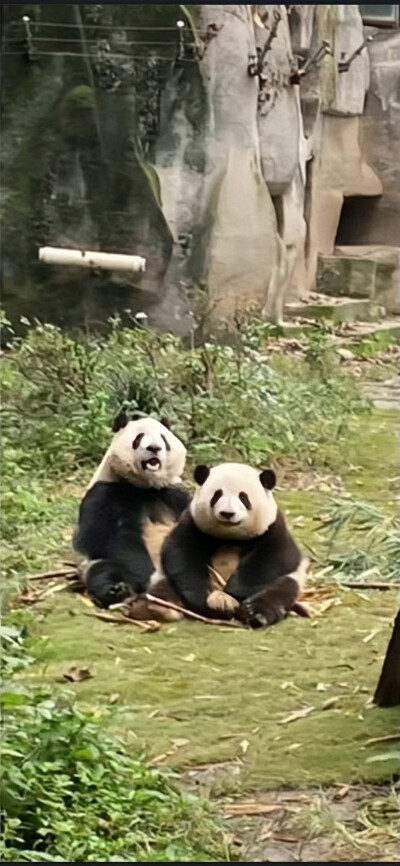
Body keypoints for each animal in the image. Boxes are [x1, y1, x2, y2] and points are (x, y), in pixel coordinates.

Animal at [73, 410, 191, 608]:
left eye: (163, 439)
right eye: (139, 438)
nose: (154, 448)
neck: (147, 487)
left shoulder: (174, 493)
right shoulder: (107, 490)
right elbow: (111, 537)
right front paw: (144, 577)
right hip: (93, 565)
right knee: (103, 570)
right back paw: (117, 590)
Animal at [160, 460, 310, 628]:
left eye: (243, 497)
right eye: (217, 495)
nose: (227, 513)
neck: (230, 538)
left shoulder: (272, 528)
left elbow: (271, 558)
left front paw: (234, 593)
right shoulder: (192, 523)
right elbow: (182, 552)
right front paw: (202, 598)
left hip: (291, 579)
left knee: (280, 591)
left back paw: (255, 613)